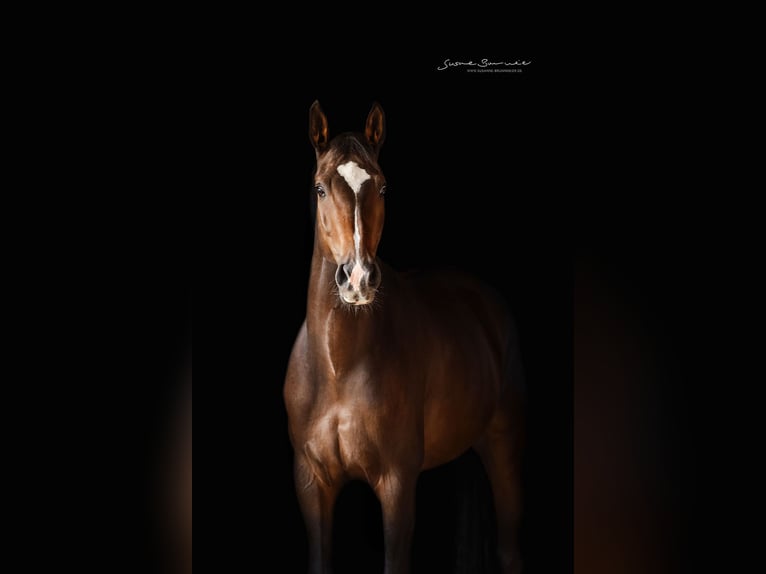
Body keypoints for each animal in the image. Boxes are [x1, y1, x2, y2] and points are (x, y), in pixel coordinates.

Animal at [284, 101, 525, 574]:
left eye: (382, 187)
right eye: (320, 188)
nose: (358, 278)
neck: (338, 368)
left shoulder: (396, 483)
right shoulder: (311, 485)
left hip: (504, 446)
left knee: (510, 550)